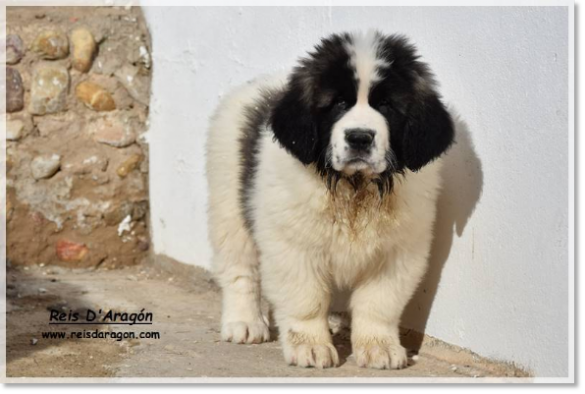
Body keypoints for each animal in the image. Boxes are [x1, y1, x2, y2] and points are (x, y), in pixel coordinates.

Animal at [205, 30, 452, 370]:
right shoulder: (293, 246)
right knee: (239, 269)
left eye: (386, 105)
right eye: (338, 104)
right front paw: (310, 346)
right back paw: (244, 322)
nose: (360, 137)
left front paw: (379, 347)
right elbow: (305, 298)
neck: (353, 187)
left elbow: (379, 302)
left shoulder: (397, 251)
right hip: (228, 199)